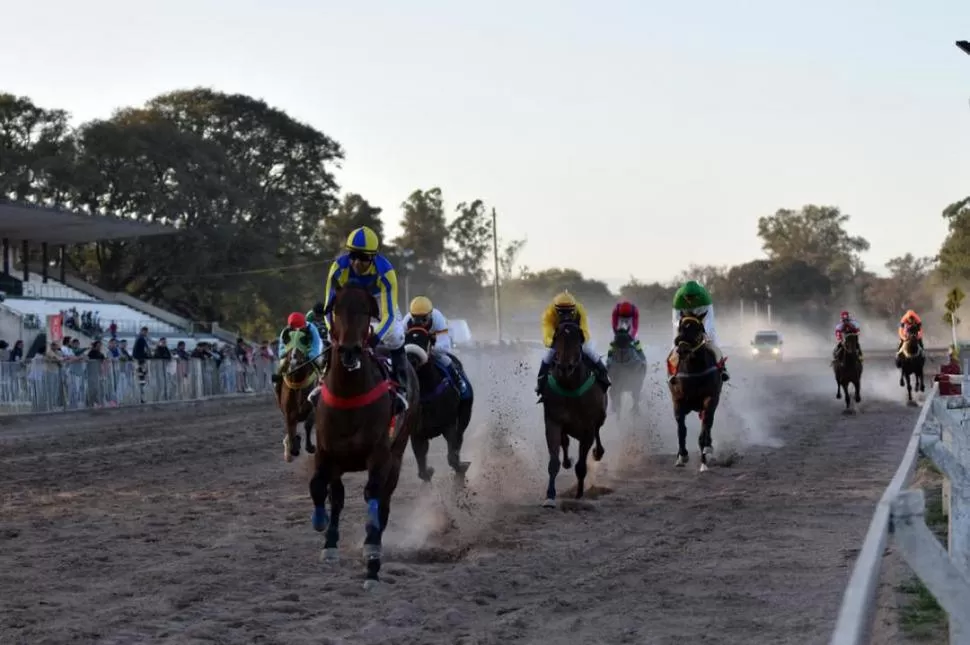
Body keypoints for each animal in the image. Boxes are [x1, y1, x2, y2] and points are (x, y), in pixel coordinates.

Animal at [310, 284, 416, 592]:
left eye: (367, 310)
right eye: (336, 309)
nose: (349, 351)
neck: (349, 395)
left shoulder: (379, 455)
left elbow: (373, 499)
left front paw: (372, 561)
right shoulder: (326, 451)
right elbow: (321, 488)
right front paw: (322, 528)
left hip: (397, 453)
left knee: (384, 503)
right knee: (338, 495)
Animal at [402, 328, 474, 484]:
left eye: (426, 339)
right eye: (405, 339)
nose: (410, 361)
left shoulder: (449, 424)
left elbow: (452, 456)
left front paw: (461, 467)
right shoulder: (417, 432)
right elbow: (422, 471)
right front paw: (428, 471)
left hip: (465, 413)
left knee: (460, 436)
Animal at [536, 320, 604, 506]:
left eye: (577, 339)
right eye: (557, 338)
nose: (565, 367)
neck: (570, 386)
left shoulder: (588, 428)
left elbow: (581, 466)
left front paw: (579, 494)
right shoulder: (553, 421)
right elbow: (554, 461)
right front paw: (550, 497)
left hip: (600, 418)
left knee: (598, 432)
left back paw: (598, 452)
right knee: (565, 442)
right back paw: (567, 461)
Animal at [668, 314, 724, 470]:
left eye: (698, 328)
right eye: (680, 327)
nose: (682, 349)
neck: (694, 370)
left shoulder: (710, 399)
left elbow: (705, 426)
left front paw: (704, 460)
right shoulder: (678, 401)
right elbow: (681, 428)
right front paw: (682, 456)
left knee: (708, 423)